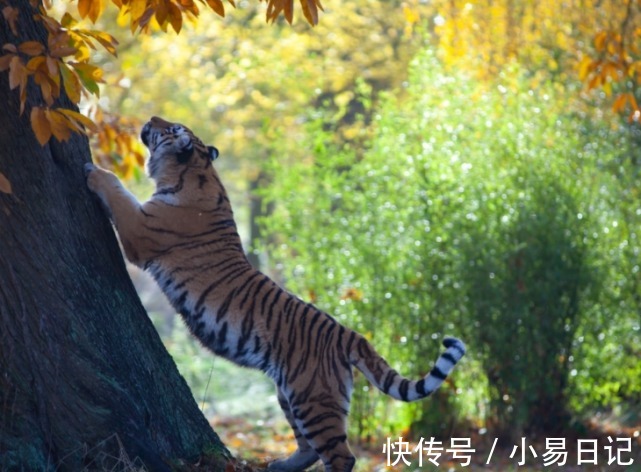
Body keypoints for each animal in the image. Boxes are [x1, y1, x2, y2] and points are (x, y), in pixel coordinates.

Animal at [85, 115, 464, 472]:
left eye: (172, 127)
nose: (151, 118)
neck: (196, 169)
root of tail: (349, 334)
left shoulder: (140, 230)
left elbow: (118, 189)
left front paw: (93, 170)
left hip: (313, 399)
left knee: (342, 456)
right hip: (291, 395)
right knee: (309, 447)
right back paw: (280, 464)